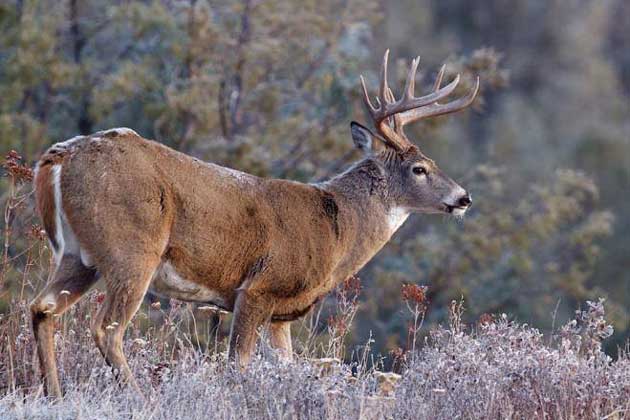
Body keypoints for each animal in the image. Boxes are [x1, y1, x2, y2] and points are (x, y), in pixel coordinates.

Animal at [29, 50, 478, 398]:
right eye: (420, 169)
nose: (463, 198)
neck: (337, 229)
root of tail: (59, 157)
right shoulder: (258, 288)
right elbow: (237, 365)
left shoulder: (281, 315)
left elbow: (285, 365)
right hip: (132, 249)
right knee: (107, 328)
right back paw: (140, 399)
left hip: (78, 256)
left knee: (42, 308)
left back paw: (54, 395)